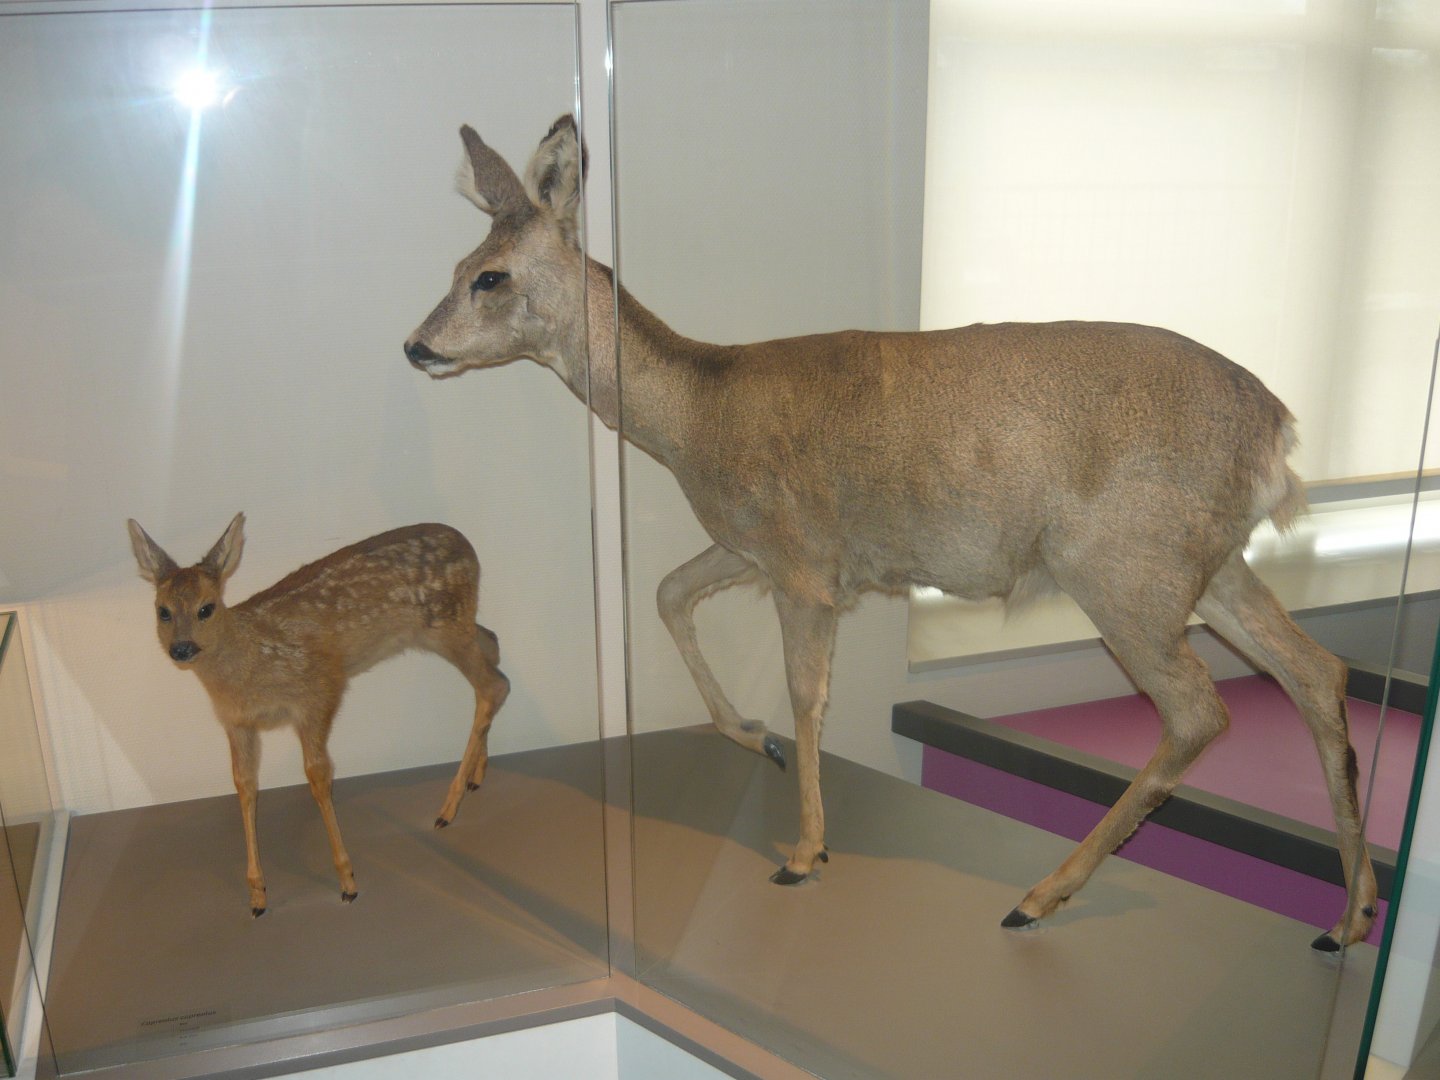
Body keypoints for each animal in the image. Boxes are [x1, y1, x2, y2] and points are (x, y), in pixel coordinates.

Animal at [127, 514, 509, 916]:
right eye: (162, 611)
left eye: (207, 607)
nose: (181, 648)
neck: (251, 662)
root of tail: (468, 546)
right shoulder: (236, 723)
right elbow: (244, 785)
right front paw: (257, 894)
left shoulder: (317, 692)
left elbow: (318, 776)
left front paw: (348, 881)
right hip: (454, 626)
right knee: (492, 645)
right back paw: (476, 776)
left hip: (445, 625)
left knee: (493, 685)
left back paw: (446, 809)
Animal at [403, 114, 1378, 951]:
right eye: (458, 260)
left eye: (490, 275)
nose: (416, 345)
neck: (695, 419)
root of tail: (1277, 431)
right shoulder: (755, 548)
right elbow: (668, 592)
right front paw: (749, 736)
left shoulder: (802, 562)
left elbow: (808, 695)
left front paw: (804, 852)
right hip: (1211, 567)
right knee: (1316, 671)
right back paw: (1349, 918)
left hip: (1124, 572)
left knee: (1200, 709)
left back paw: (1035, 899)